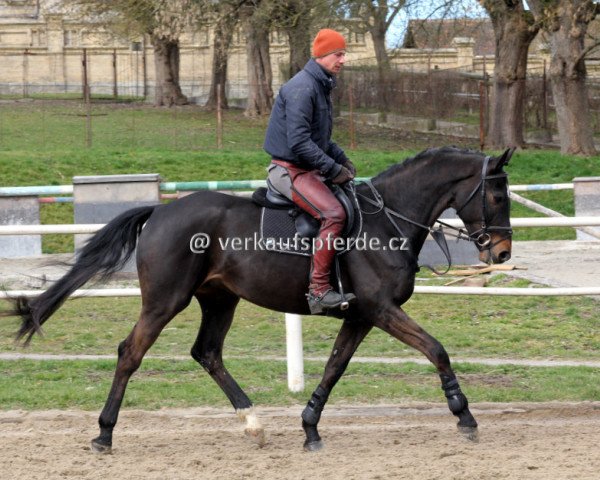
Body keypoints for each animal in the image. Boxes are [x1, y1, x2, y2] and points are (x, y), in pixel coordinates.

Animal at [9, 146, 512, 454]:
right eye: (495, 195)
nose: (503, 253)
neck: (386, 219)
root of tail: (161, 210)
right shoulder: (383, 311)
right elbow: (436, 350)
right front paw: (464, 416)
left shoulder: (361, 316)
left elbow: (334, 367)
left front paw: (310, 426)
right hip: (165, 301)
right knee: (130, 353)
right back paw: (104, 434)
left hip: (219, 300)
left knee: (207, 353)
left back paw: (252, 422)